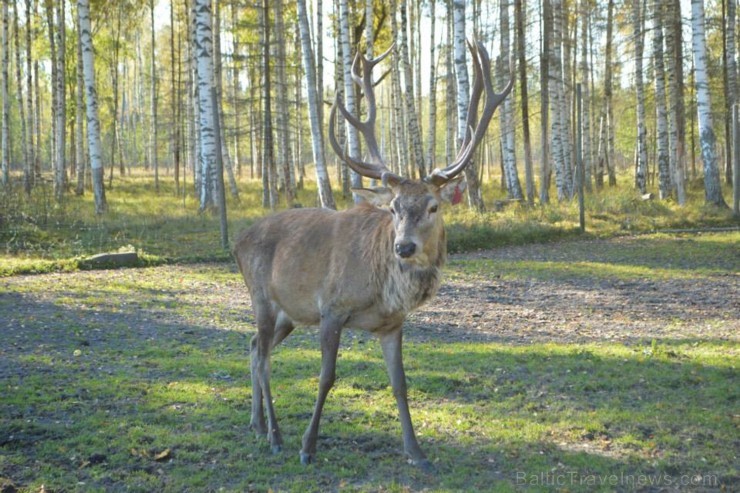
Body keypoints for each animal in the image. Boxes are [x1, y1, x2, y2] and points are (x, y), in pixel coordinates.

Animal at [234, 39, 512, 468]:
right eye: (394, 207)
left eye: (433, 206)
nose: (404, 246)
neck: (382, 289)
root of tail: (237, 241)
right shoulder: (331, 307)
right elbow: (327, 377)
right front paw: (308, 446)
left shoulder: (392, 324)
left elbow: (400, 383)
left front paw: (416, 451)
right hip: (262, 297)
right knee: (262, 358)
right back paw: (277, 437)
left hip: (289, 313)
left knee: (251, 347)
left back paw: (258, 424)